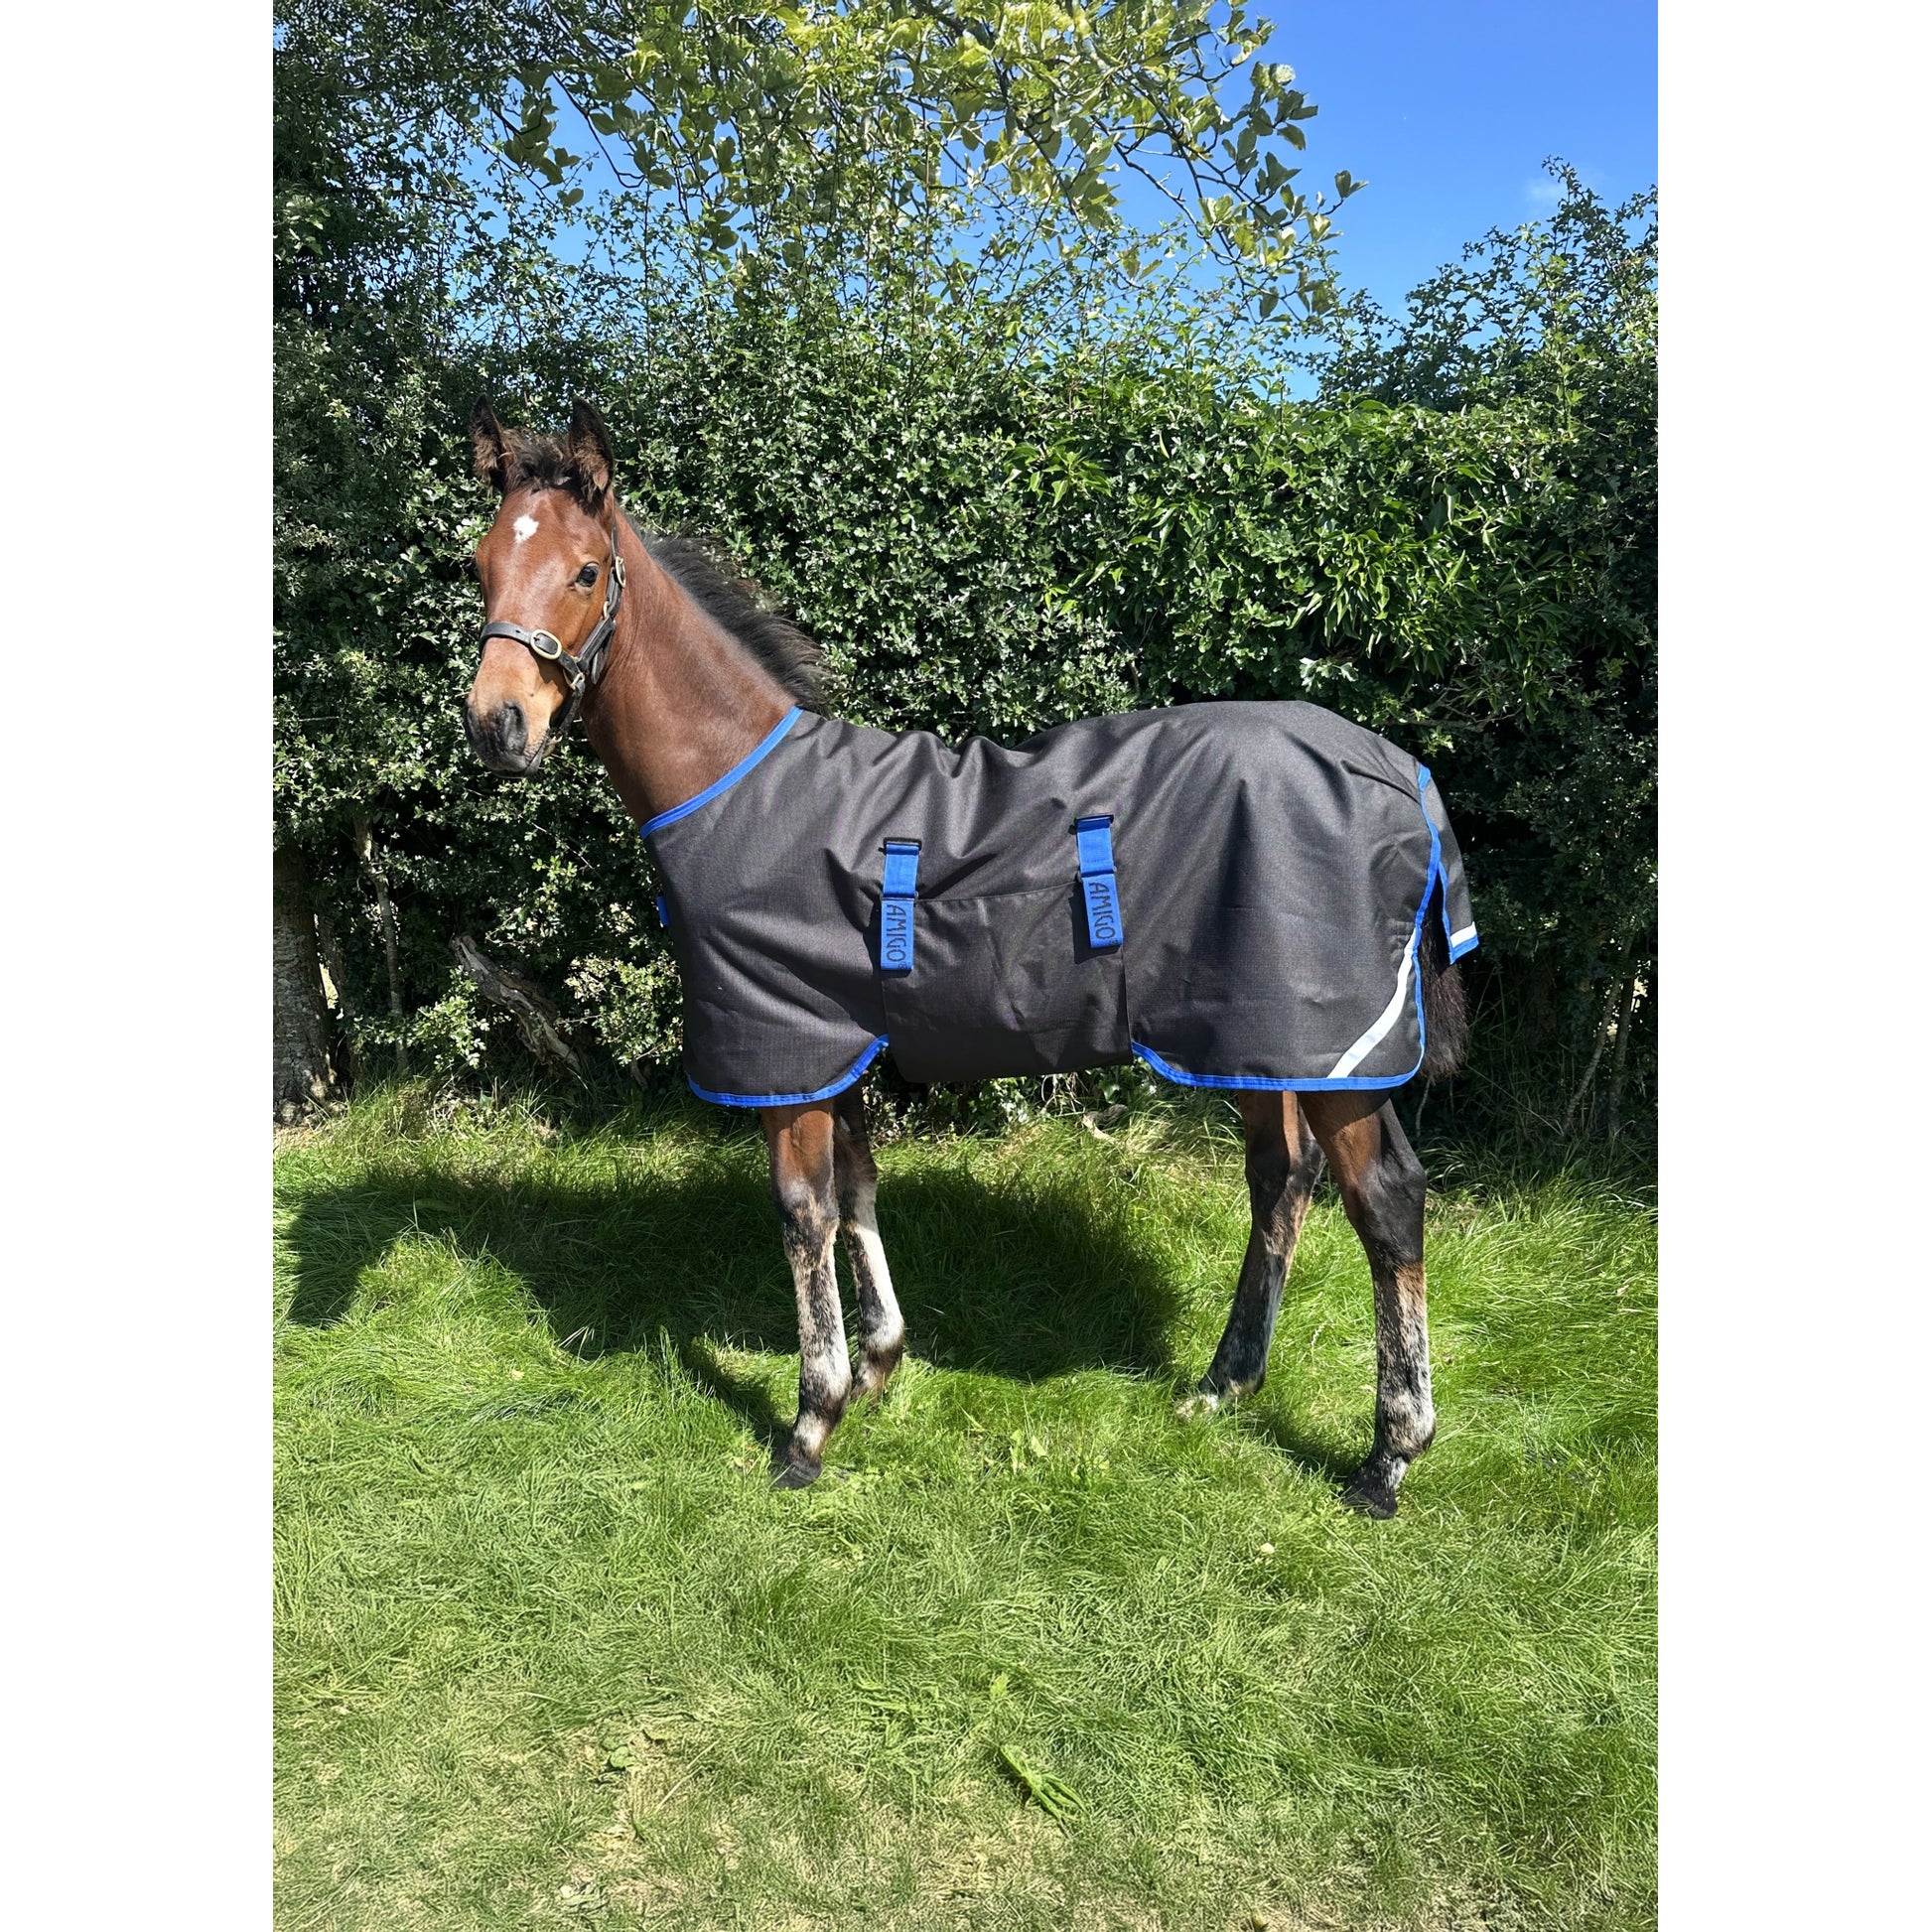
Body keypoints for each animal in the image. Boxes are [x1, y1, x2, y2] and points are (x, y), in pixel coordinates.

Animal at [461, 397, 1473, 1518]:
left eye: (585, 570)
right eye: (480, 564)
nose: (496, 724)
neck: (743, 786)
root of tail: (1396, 769)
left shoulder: (786, 1048)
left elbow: (804, 1214)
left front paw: (810, 1422)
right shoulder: (838, 1046)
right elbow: (857, 1189)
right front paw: (878, 1363)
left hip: (1338, 1052)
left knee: (1386, 1205)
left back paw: (1389, 1453)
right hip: (1254, 1038)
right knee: (1281, 1178)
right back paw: (1223, 1384)